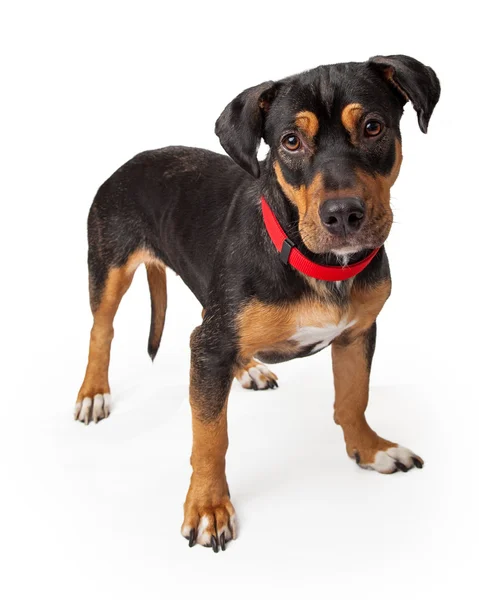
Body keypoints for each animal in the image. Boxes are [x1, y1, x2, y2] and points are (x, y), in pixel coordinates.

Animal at [77, 54, 440, 552]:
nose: (343, 214)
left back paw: (247, 367)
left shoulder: (358, 332)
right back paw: (93, 392)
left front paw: (370, 449)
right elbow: (210, 436)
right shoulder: (208, 348)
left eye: (373, 127)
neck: (313, 259)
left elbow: (353, 398)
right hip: (110, 266)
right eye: (290, 141)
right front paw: (208, 506)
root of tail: (132, 160)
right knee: (102, 328)